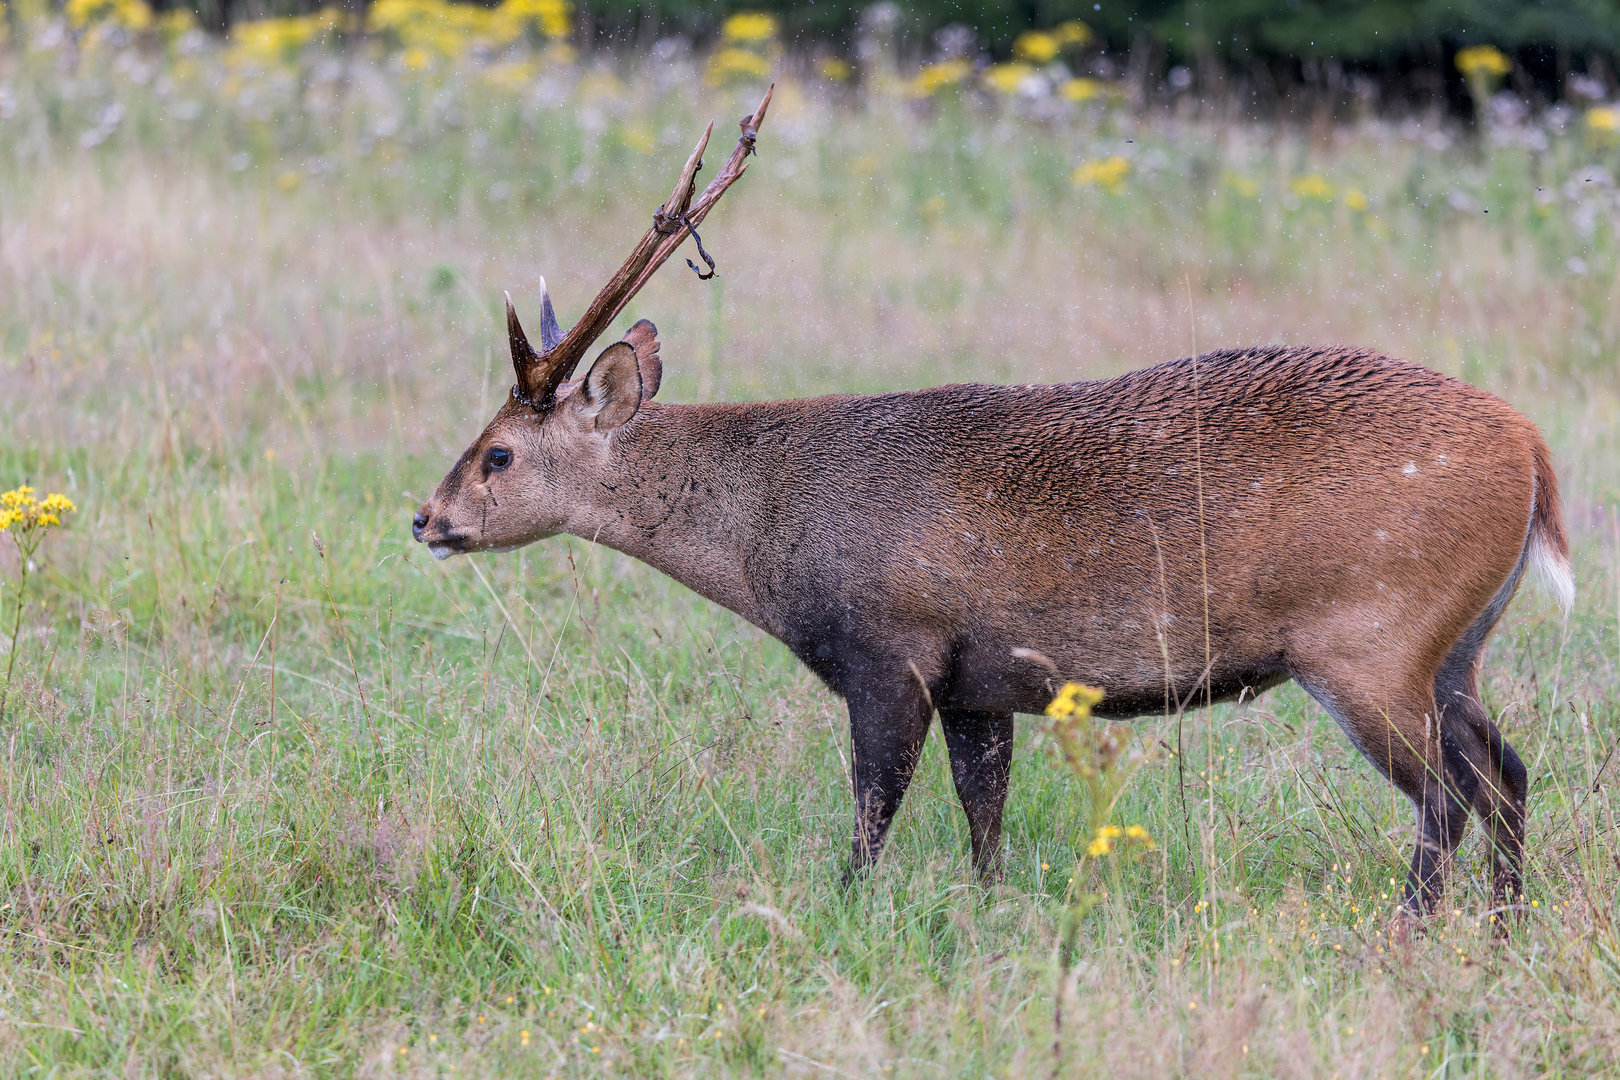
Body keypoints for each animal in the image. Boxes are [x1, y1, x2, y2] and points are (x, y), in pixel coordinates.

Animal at [412, 87, 1573, 919]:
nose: (425, 519)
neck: (769, 540)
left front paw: (845, 911)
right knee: (1507, 771)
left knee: (1446, 795)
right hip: (1458, 641)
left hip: (1371, 630)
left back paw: (1413, 929)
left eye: (498, 453)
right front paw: (989, 917)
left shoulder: (890, 646)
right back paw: (1506, 927)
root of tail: (1534, 453)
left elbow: (873, 815)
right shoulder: (983, 678)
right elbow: (986, 823)